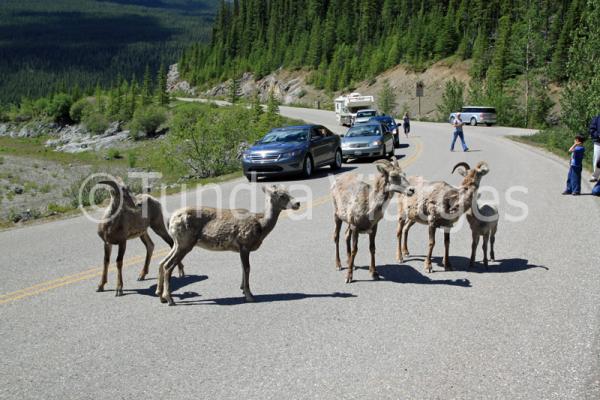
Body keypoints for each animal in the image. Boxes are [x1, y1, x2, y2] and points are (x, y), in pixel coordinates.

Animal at [155, 185, 300, 306]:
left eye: (288, 192)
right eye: (282, 195)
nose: (297, 203)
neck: (261, 225)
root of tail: (170, 220)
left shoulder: (241, 250)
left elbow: (242, 268)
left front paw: (243, 290)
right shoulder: (244, 245)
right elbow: (247, 268)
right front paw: (249, 296)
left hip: (177, 244)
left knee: (162, 263)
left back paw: (161, 297)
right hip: (185, 245)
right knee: (168, 266)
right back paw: (170, 300)